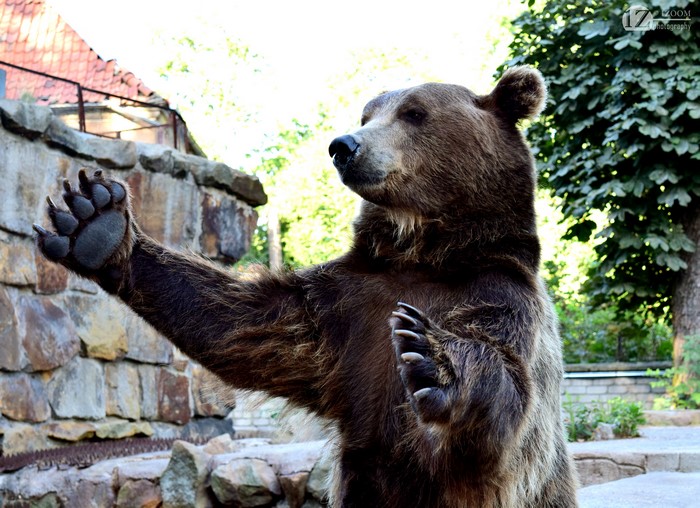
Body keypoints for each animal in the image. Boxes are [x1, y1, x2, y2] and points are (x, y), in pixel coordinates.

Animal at [34, 65, 578, 507]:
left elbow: (504, 385)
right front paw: (96, 222)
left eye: (415, 112)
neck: (423, 255)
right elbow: (245, 325)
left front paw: (429, 354)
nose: (345, 145)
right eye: (368, 112)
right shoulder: (347, 307)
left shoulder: (498, 296)